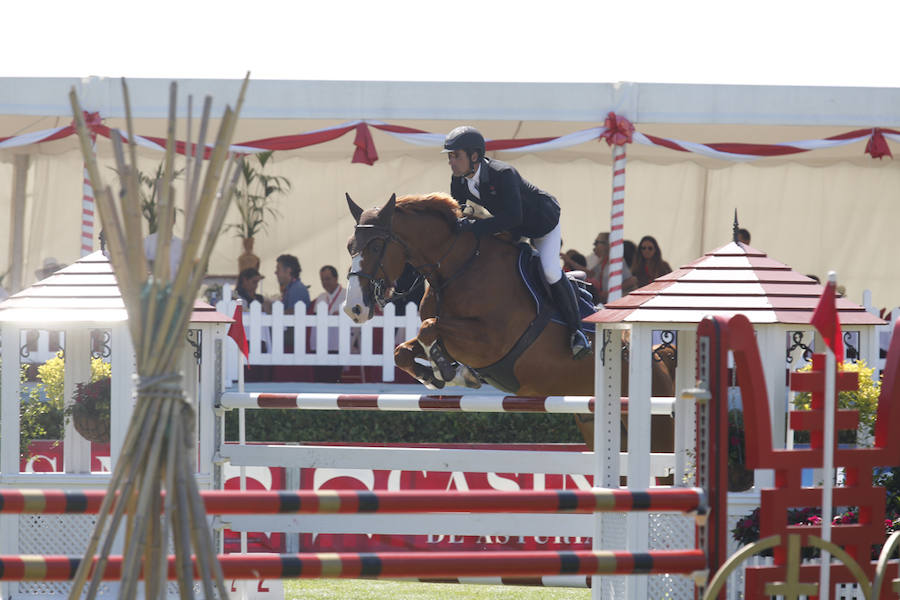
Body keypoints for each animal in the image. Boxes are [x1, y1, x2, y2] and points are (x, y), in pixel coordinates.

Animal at [342, 192, 672, 450]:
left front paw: (448, 370)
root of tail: (660, 359)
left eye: (375, 246)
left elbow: (429, 328)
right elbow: (404, 350)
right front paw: (435, 374)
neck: (459, 267)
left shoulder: (491, 341)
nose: (353, 308)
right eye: (349, 247)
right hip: (594, 422)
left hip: (657, 430)